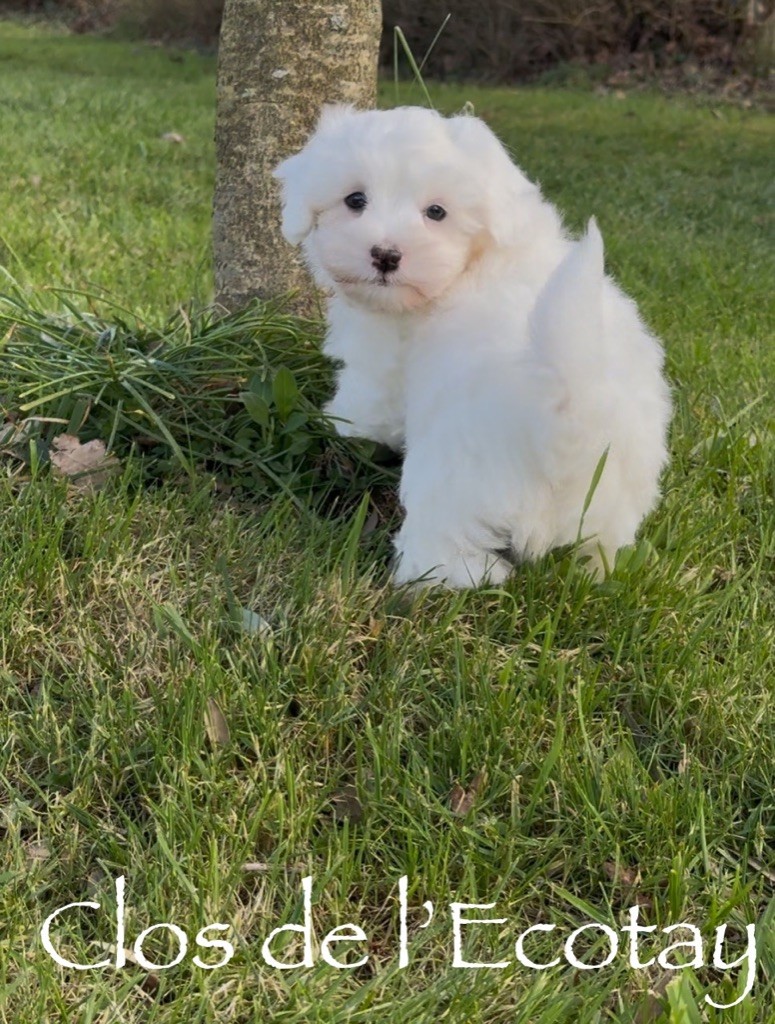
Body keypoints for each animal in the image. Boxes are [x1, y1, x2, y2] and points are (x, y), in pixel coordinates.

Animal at [274, 104, 671, 589]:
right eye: (354, 200)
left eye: (436, 212)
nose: (385, 255)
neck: (476, 260)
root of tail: (563, 423)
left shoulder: (384, 364)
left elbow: (367, 404)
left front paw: (336, 422)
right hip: (612, 497)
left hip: (457, 480)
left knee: (447, 548)